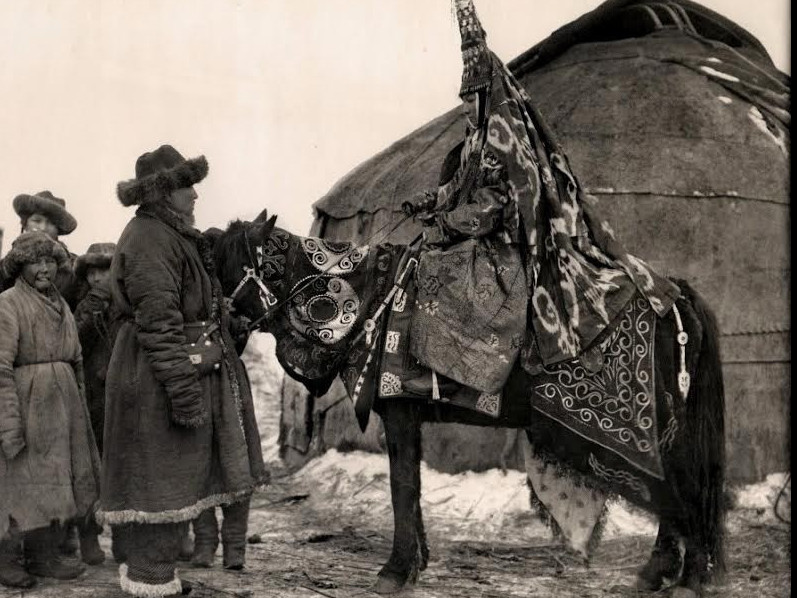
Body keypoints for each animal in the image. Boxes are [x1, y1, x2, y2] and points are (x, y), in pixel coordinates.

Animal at [215, 209, 724, 596]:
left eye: (222, 263)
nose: (223, 329)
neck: (372, 296)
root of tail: (676, 294)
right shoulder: (410, 415)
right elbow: (412, 487)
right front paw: (416, 562)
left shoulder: (399, 411)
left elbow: (403, 486)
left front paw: (394, 571)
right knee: (671, 493)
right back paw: (656, 574)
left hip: (660, 429)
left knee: (684, 488)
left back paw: (690, 580)